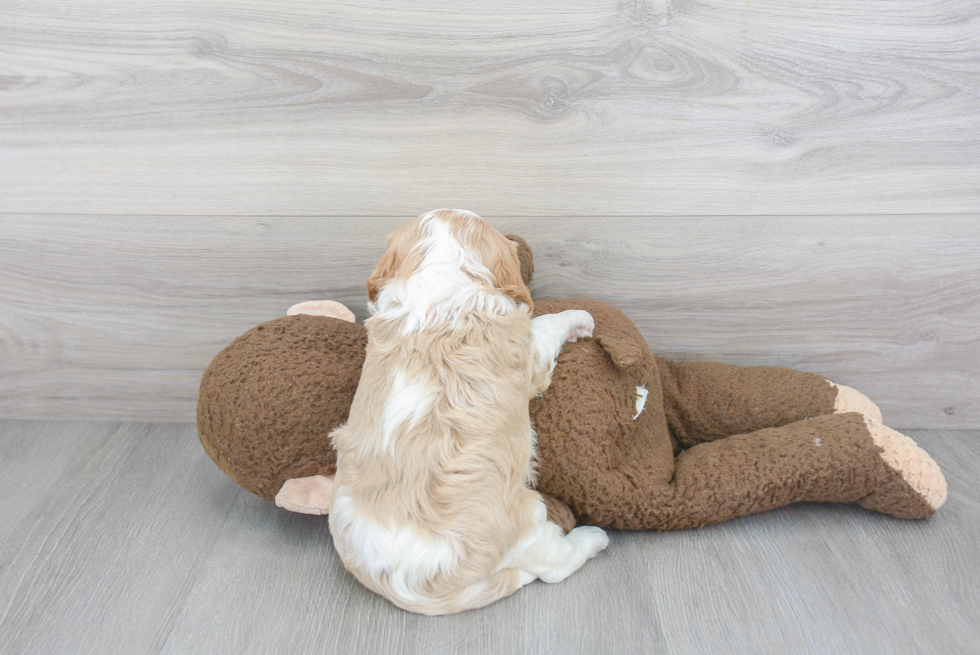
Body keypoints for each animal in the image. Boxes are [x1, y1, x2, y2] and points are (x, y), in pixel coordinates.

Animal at [330, 210, 604, 616]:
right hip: (527, 520)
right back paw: (593, 538)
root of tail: (412, 590)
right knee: (553, 566)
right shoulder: (529, 349)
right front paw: (581, 319)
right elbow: (546, 324)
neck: (437, 279)